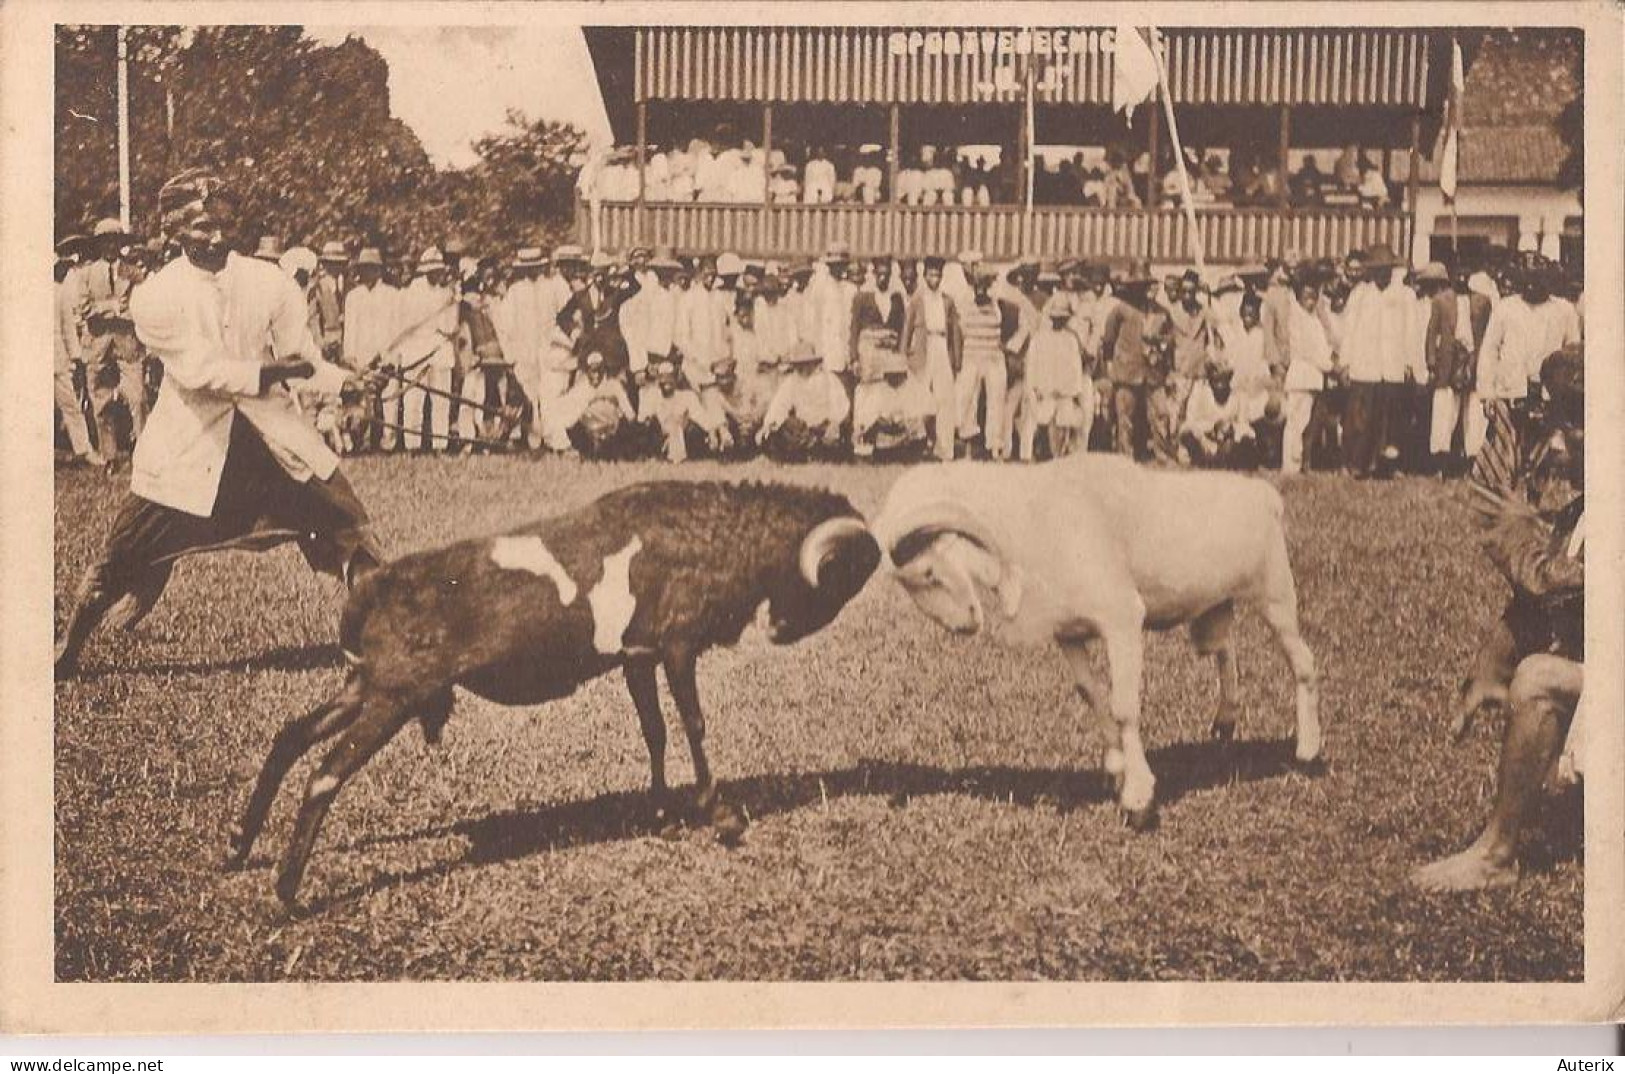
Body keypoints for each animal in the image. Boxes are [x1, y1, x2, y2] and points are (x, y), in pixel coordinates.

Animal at [227, 480, 877, 909]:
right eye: (842, 574)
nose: (785, 630)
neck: (708, 529)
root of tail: (370, 585)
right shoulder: (676, 645)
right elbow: (693, 725)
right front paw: (720, 816)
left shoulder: (637, 656)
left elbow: (655, 731)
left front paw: (662, 814)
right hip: (395, 695)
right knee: (324, 775)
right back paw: (287, 893)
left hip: (365, 685)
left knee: (288, 739)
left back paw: (238, 848)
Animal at [877, 451, 1319, 822]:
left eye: (929, 572)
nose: (965, 626)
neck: (1033, 519)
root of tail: (1264, 495)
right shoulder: (1069, 634)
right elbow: (1092, 695)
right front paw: (1115, 771)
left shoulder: (1121, 619)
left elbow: (1123, 706)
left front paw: (1139, 797)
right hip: (1212, 611)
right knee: (1225, 649)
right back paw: (1226, 720)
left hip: (1275, 595)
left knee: (1303, 662)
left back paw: (1309, 751)